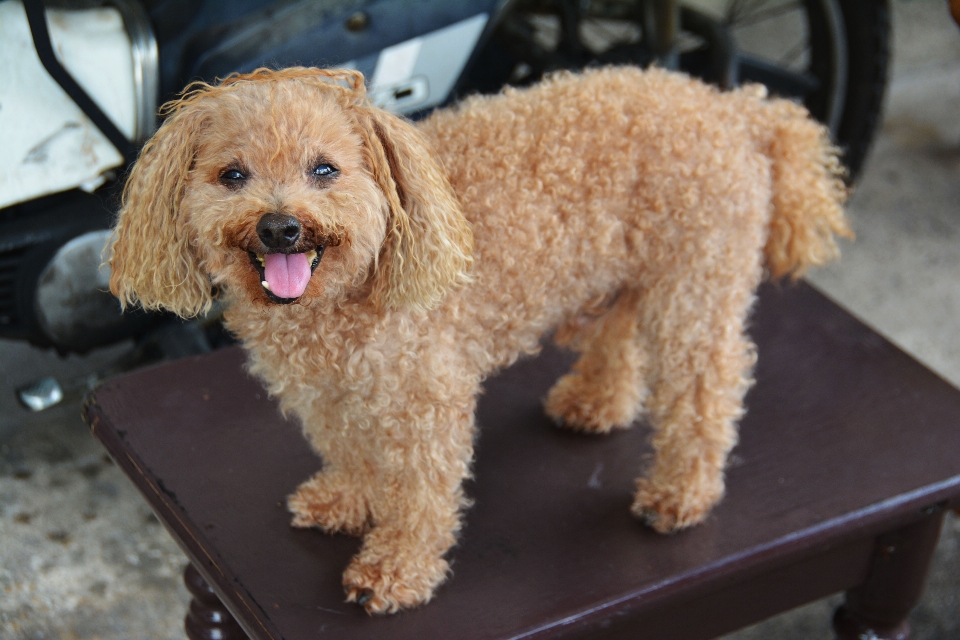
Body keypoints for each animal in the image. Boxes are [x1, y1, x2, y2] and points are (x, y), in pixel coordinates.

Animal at [109, 66, 852, 616]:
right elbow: (351, 451)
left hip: (694, 287)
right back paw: (595, 402)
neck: (338, 303)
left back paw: (679, 494)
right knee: (619, 336)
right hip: (621, 274)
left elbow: (420, 492)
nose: (280, 227)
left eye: (325, 170)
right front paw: (347, 500)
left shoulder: (424, 399)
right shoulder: (334, 392)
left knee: (706, 391)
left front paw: (396, 569)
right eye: (232, 174)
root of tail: (735, 108)